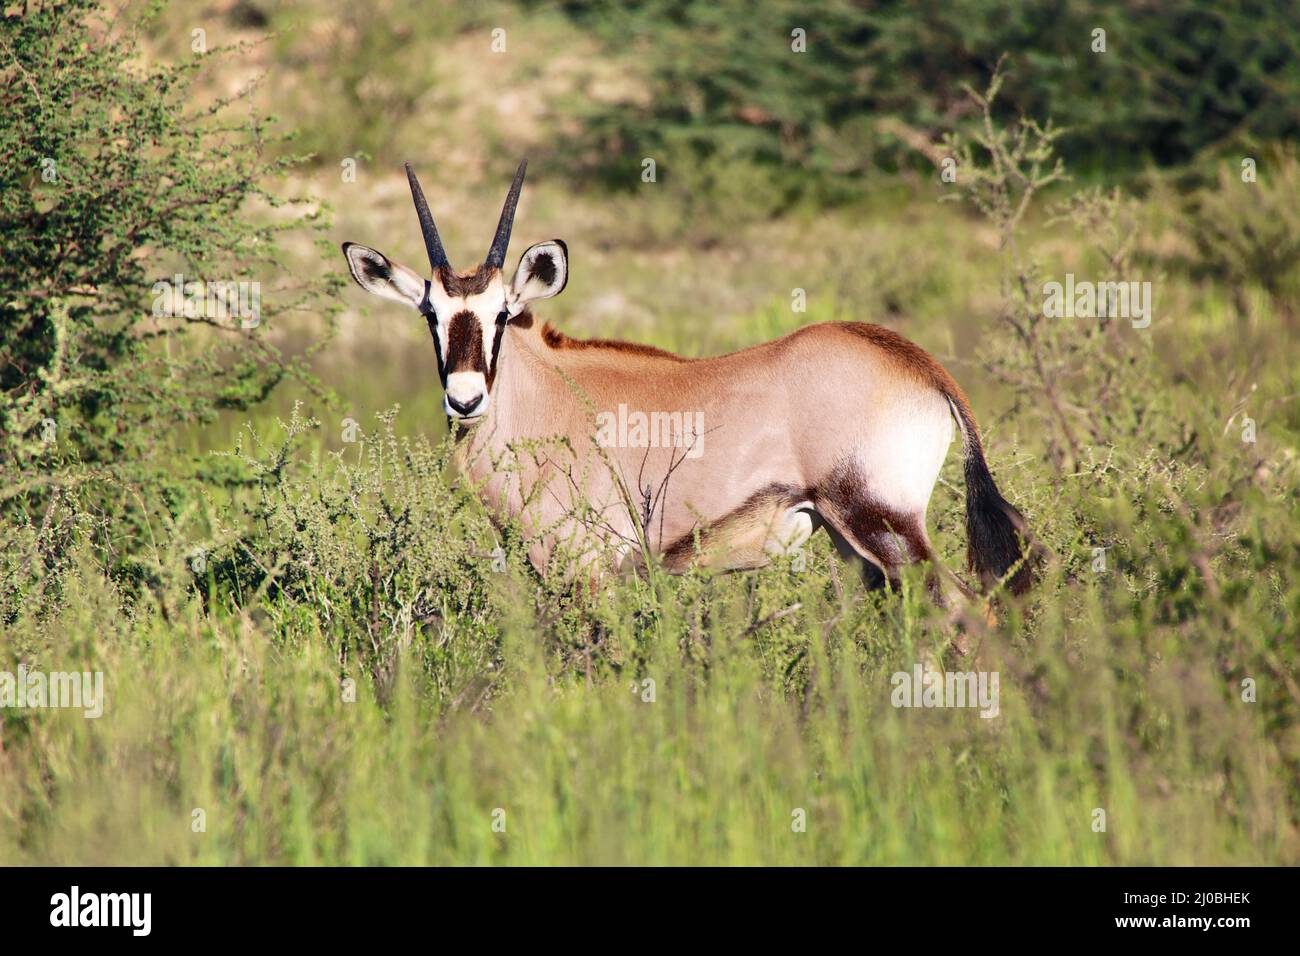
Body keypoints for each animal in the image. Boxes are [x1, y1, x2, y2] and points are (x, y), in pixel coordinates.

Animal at [343, 159, 1034, 600]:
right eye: (431, 314)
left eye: (502, 315)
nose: (465, 400)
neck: (549, 402)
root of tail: (918, 363)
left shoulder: (586, 573)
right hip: (856, 539)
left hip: (883, 522)